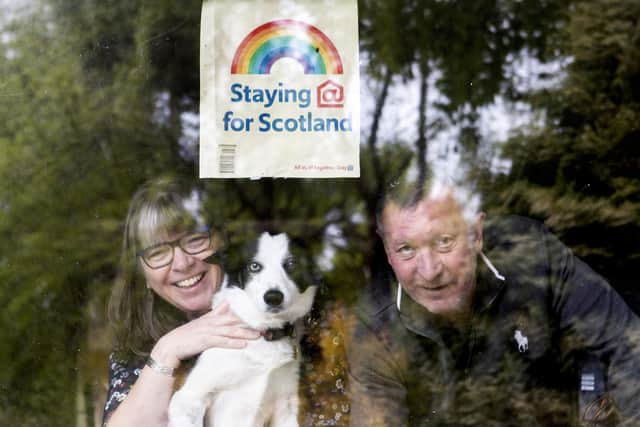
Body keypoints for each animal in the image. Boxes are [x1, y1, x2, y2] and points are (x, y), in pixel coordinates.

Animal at [168, 234, 318, 427]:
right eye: (254, 266)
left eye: (292, 263)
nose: (273, 297)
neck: (262, 330)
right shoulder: (189, 398)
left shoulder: (285, 406)